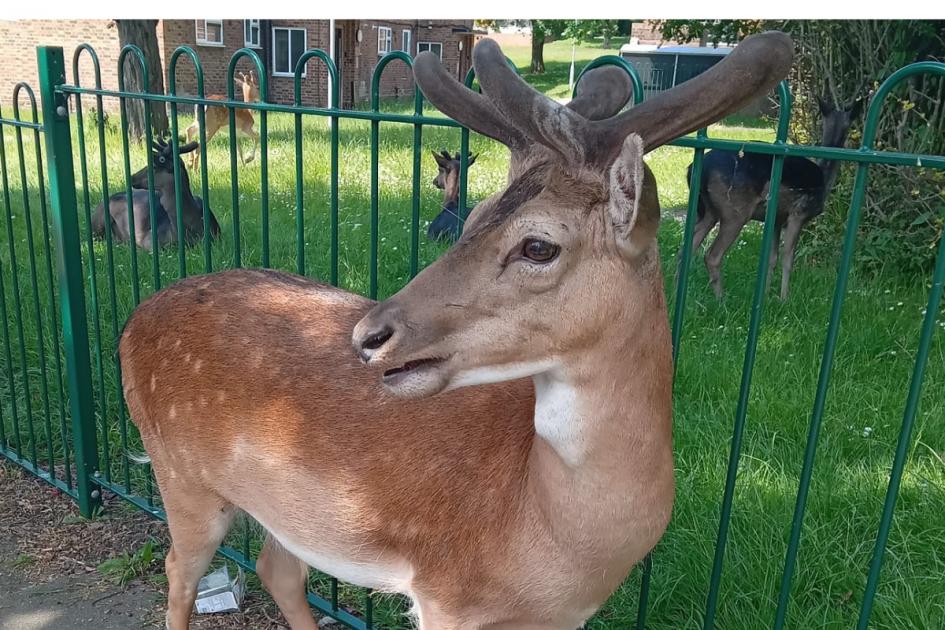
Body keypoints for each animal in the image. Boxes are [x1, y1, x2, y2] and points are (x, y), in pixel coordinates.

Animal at [118, 33, 792, 630]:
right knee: (179, 572)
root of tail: (131, 325)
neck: (555, 531)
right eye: (470, 217)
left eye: (538, 245)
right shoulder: (448, 595)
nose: (369, 335)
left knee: (275, 569)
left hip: (288, 512)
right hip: (180, 473)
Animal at [684, 97, 864, 302]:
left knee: (688, 246)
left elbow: (772, 258)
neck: (824, 179)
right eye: (851, 125)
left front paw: (766, 293)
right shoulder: (798, 213)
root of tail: (694, 170)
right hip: (735, 210)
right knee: (712, 255)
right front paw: (784, 298)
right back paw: (721, 299)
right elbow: (788, 258)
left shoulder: (777, 220)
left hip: (708, 210)